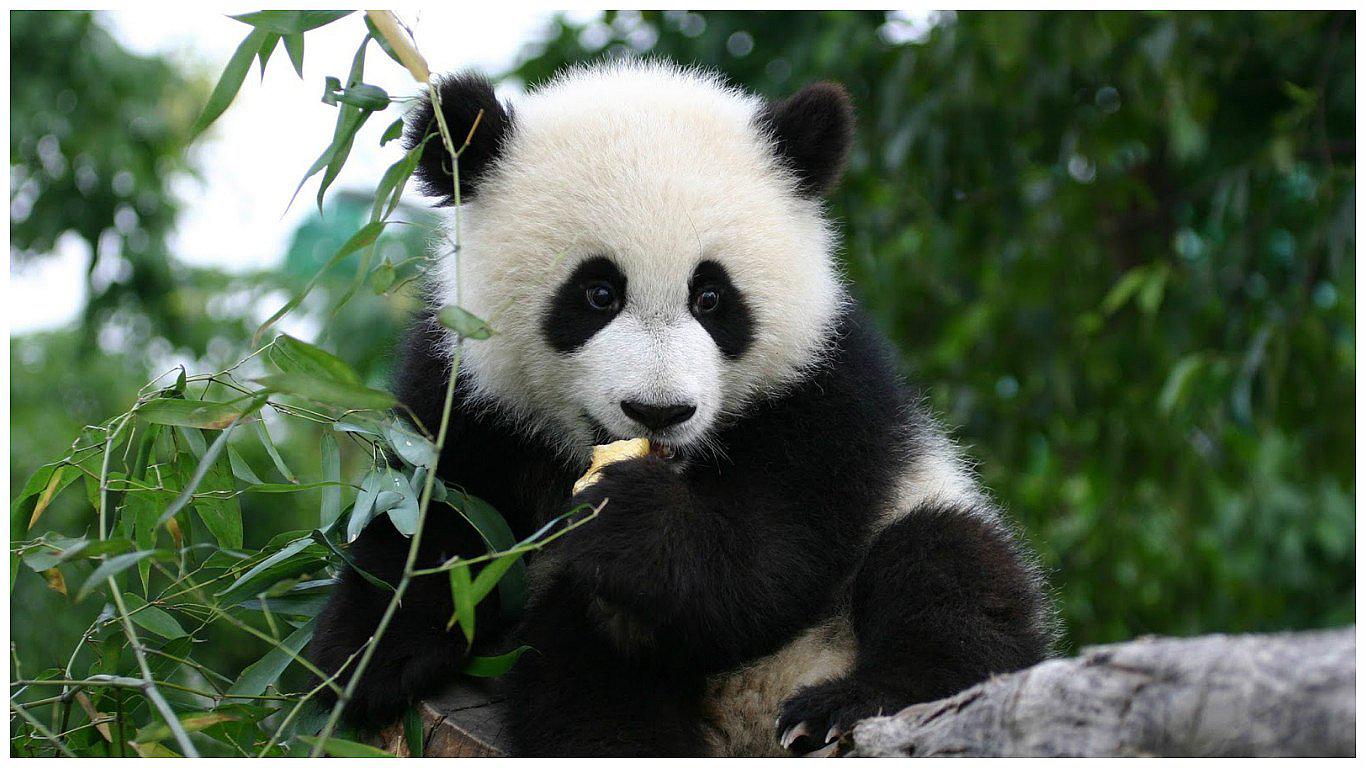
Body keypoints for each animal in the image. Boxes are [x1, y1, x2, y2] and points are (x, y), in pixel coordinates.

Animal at [309, 60, 1056, 757]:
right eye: (598, 294)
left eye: (712, 298)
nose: (658, 411)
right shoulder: (465, 389)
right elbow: (433, 511)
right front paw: (368, 660)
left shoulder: (828, 390)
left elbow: (771, 561)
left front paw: (630, 520)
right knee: (581, 665)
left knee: (951, 577)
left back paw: (839, 708)